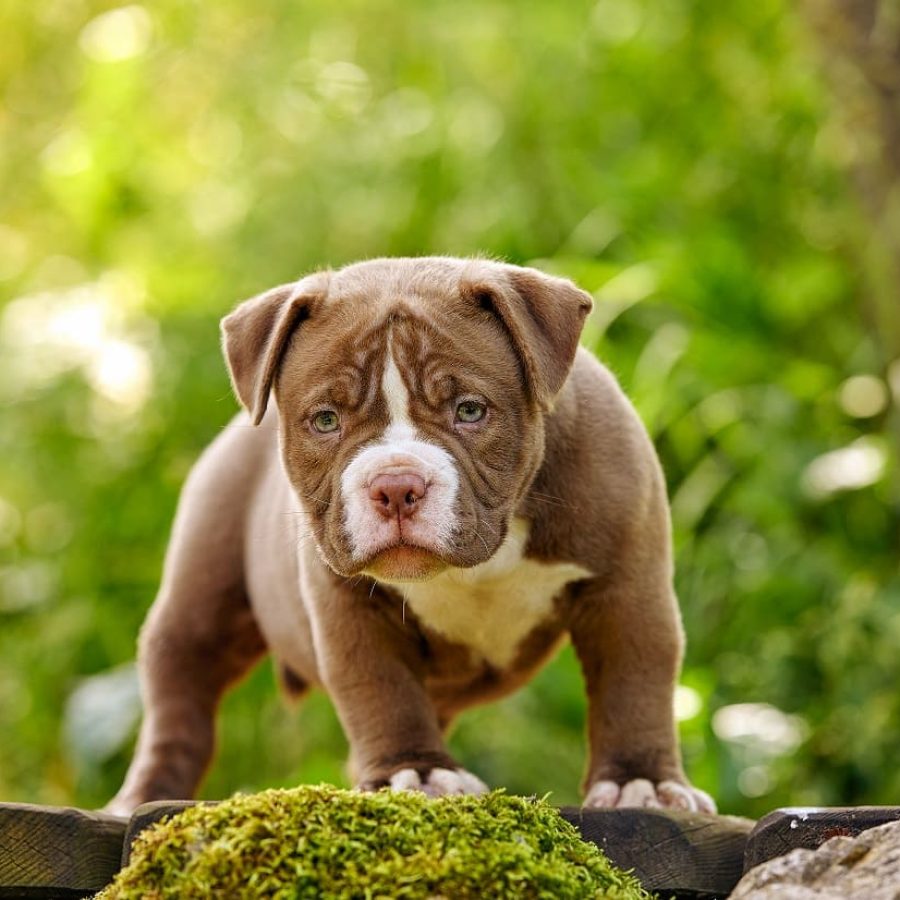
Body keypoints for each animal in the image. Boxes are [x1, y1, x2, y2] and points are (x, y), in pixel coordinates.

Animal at [107, 253, 712, 816]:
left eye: (470, 410)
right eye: (325, 420)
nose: (395, 486)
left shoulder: (626, 585)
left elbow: (635, 679)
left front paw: (642, 783)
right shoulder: (348, 604)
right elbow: (382, 688)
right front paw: (413, 772)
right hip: (200, 598)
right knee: (179, 702)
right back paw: (139, 796)